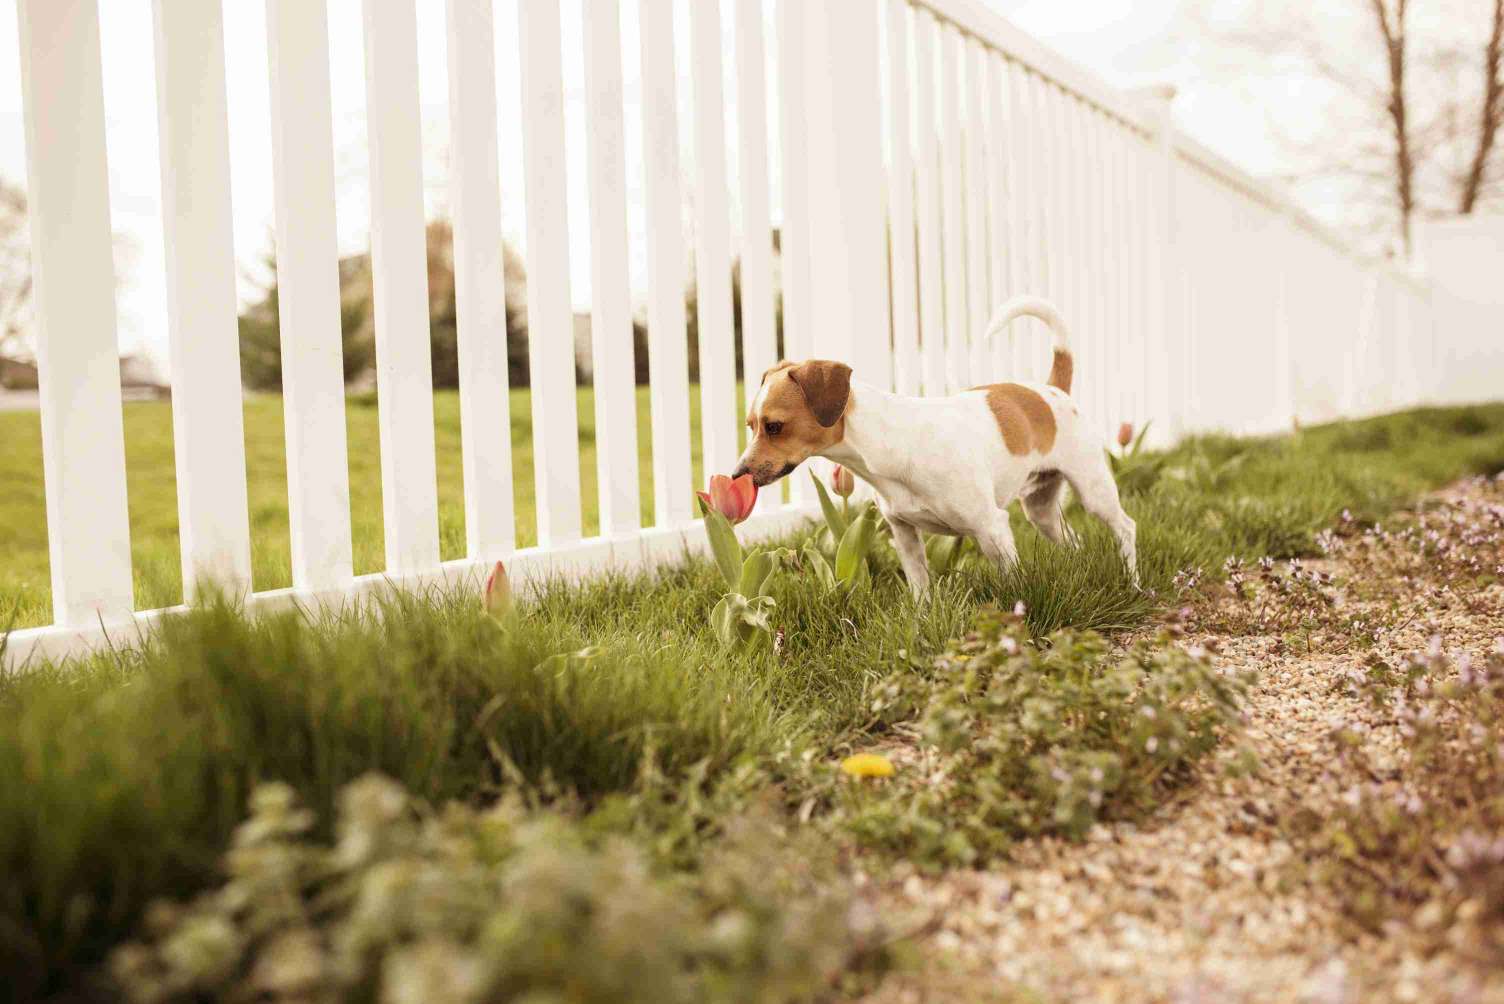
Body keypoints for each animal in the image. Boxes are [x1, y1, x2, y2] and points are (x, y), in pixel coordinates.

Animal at [730, 294, 1137, 592]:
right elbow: (920, 587)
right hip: (1041, 509)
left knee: (1126, 527)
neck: (892, 444)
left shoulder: (992, 528)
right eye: (750, 425)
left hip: (1094, 490)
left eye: (774, 427)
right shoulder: (904, 533)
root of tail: (1051, 389)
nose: (736, 474)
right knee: (1072, 538)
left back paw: (1132, 581)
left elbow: (1014, 584)